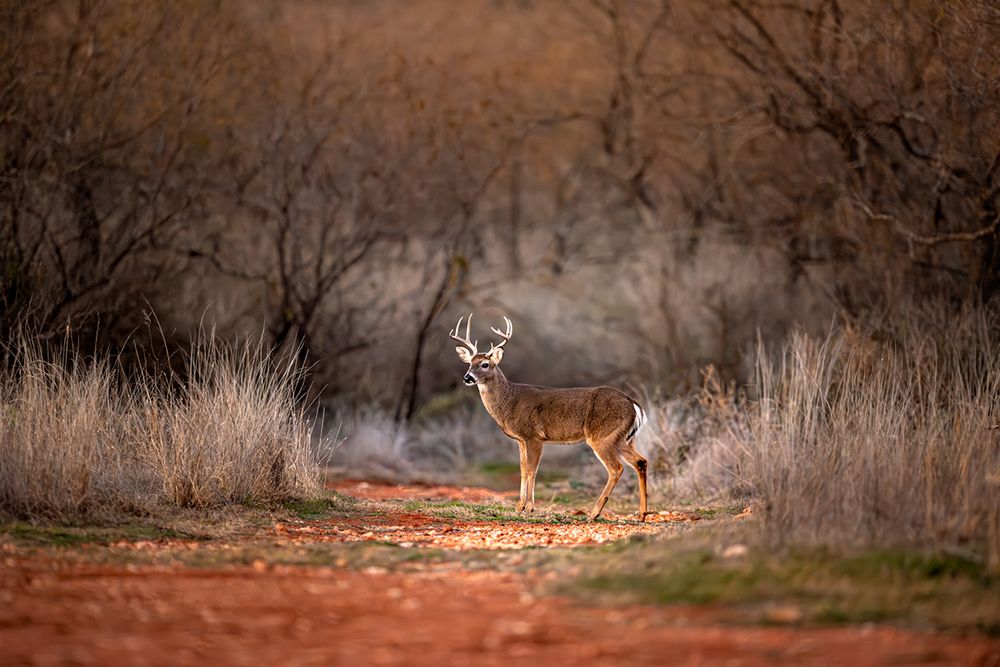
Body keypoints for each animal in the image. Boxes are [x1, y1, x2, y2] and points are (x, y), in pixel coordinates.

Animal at [452, 314, 652, 520]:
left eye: (485, 364)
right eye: (470, 363)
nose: (467, 378)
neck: (511, 401)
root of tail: (633, 404)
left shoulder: (533, 436)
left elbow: (531, 470)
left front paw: (529, 507)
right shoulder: (521, 440)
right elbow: (522, 469)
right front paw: (519, 506)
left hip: (602, 436)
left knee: (616, 468)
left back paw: (594, 513)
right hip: (622, 438)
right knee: (640, 461)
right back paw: (642, 514)